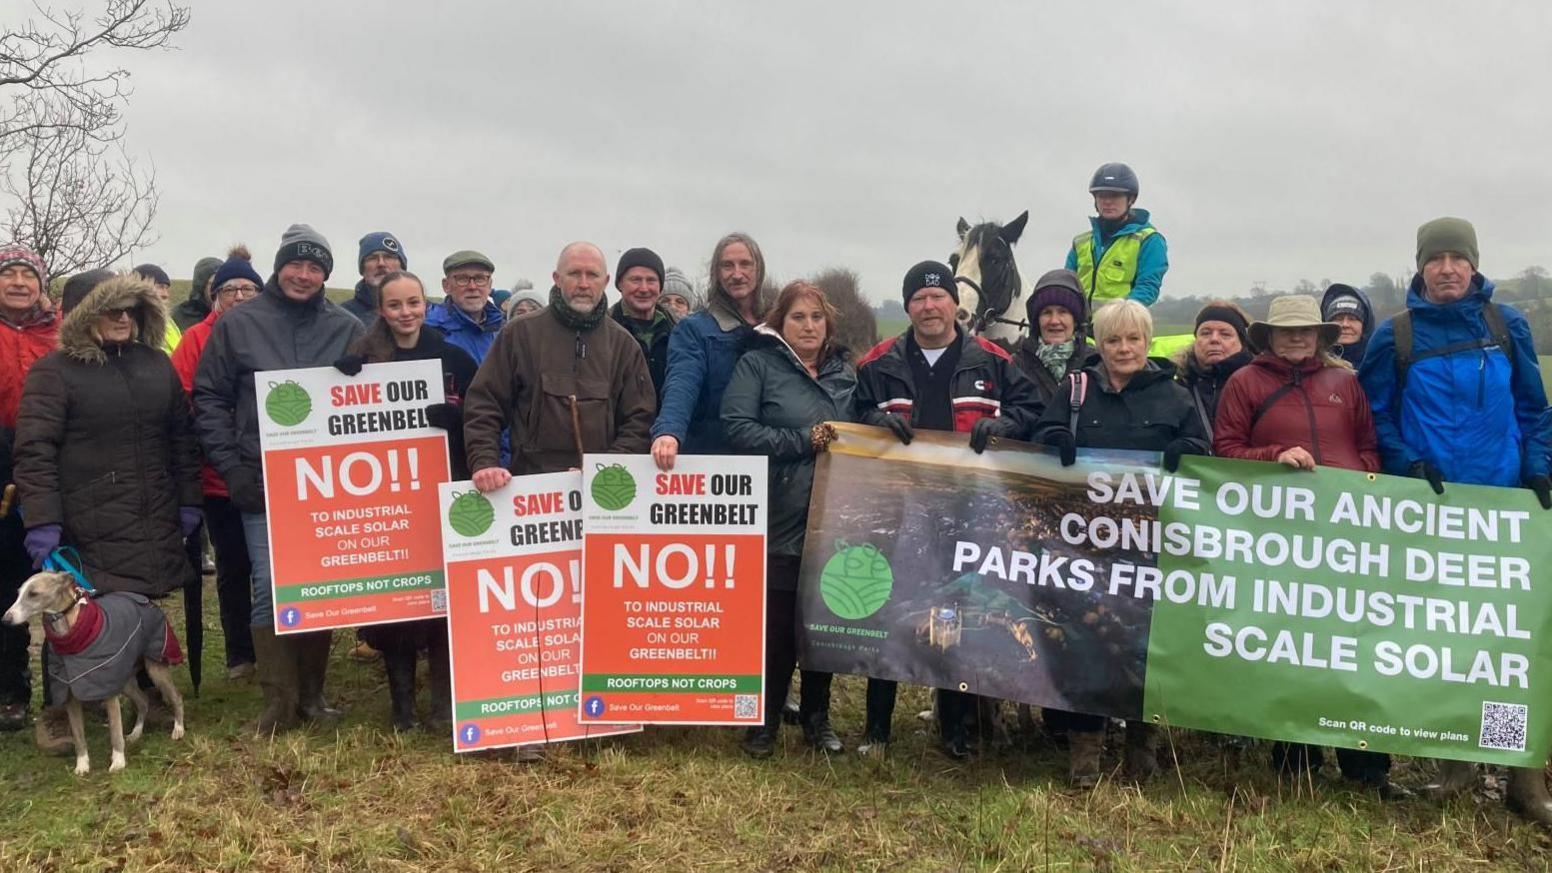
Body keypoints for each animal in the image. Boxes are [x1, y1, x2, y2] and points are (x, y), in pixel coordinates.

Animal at [1, 568, 184, 770]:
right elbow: (78, 736)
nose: (5, 619)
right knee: (143, 701)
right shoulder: (70, 695)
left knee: (176, 697)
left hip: (155, 668)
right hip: (124, 680)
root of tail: (146, 600)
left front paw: (118, 762)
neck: (70, 633)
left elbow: (115, 731)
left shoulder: (108, 692)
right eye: (18, 593)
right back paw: (136, 733)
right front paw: (82, 765)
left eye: (33, 593)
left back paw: (178, 729)